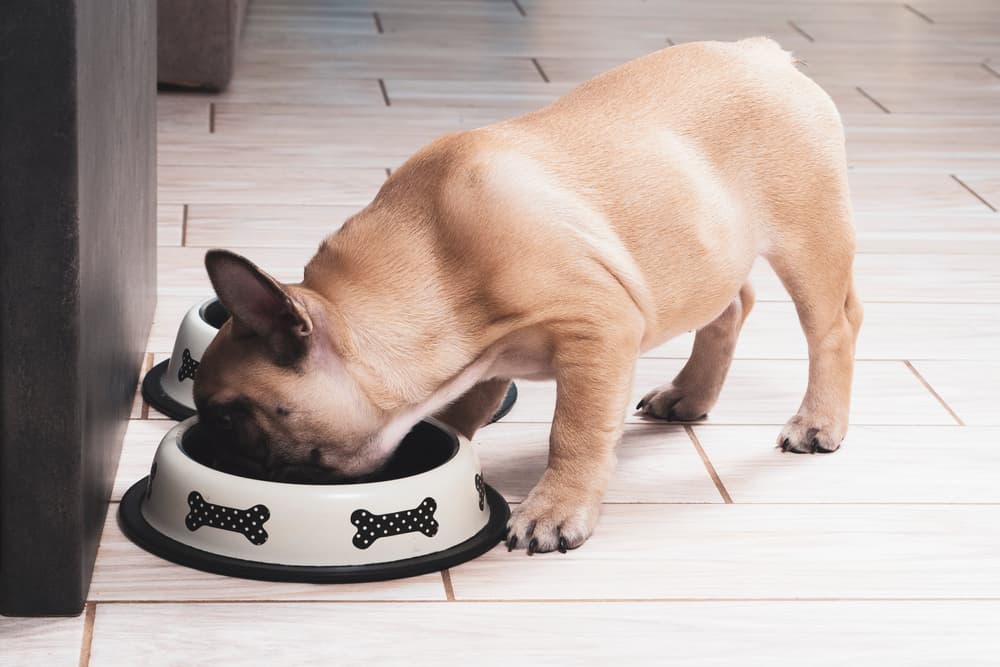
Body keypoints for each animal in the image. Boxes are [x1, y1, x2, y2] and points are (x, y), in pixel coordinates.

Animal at [193, 39, 860, 556]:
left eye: (225, 414)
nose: (210, 441)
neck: (432, 260)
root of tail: (763, 53)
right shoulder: (481, 361)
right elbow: (462, 417)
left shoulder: (598, 329)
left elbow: (575, 429)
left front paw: (554, 511)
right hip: (707, 253)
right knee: (732, 305)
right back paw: (688, 394)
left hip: (808, 235)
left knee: (833, 326)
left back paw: (817, 422)